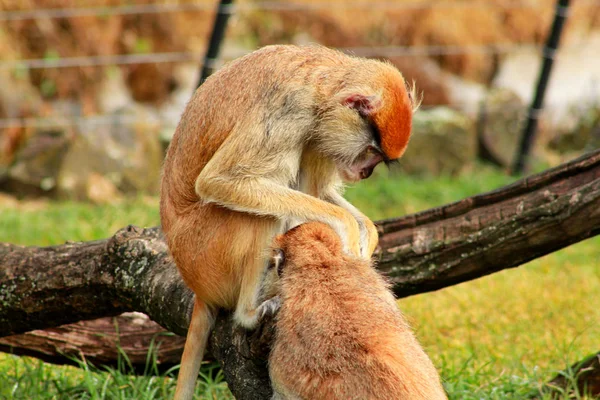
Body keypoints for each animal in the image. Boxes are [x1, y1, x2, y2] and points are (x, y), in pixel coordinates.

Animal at [162, 43, 420, 400]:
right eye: (372, 151)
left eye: (378, 158)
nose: (366, 172)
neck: (323, 85)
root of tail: (195, 284)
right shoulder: (289, 109)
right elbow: (220, 180)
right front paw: (349, 229)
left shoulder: (319, 131)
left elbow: (320, 191)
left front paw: (367, 236)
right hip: (206, 253)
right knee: (262, 215)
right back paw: (249, 313)